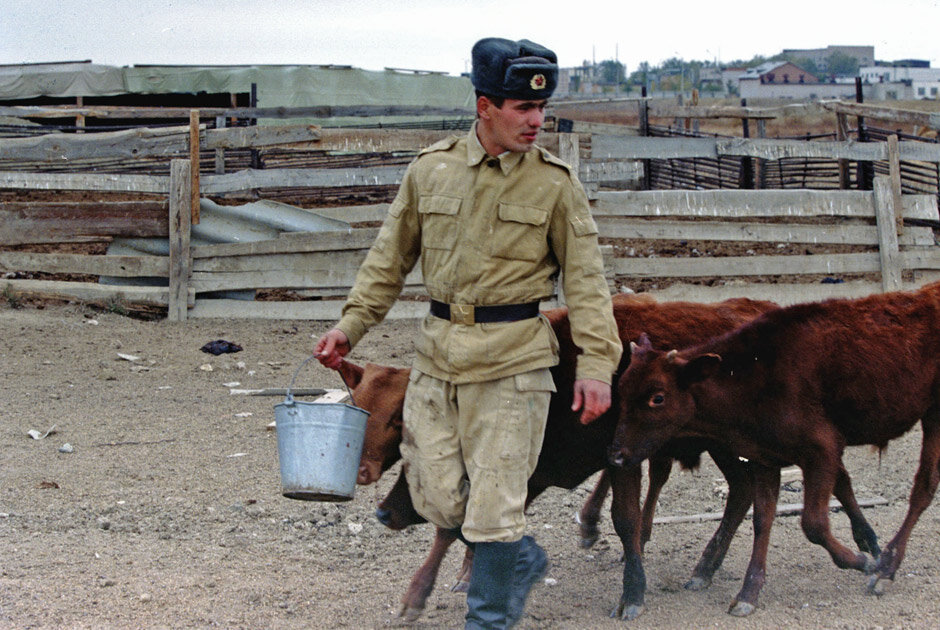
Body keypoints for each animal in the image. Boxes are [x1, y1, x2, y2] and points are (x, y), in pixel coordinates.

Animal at [338, 294, 880, 624]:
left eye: (400, 424)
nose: (383, 512)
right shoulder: (527, 469)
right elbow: (464, 527)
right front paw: (427, 590)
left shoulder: (620, 458)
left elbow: (624, 518)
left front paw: (632, 593)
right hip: (730, 447)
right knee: (746, 492)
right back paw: (706, 568)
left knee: (806, 484)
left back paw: (864, 545)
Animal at [608, 282, 940, 616]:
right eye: (621, 390)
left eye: (658, 397)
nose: (617, 455)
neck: (756, 375)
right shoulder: (765, 458)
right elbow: (762, 520)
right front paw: (749, 592)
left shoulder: (823, 449)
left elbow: (813, 523)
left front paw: (861, 562)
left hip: (934, 418)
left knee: (922, 489)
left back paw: (885, 568)